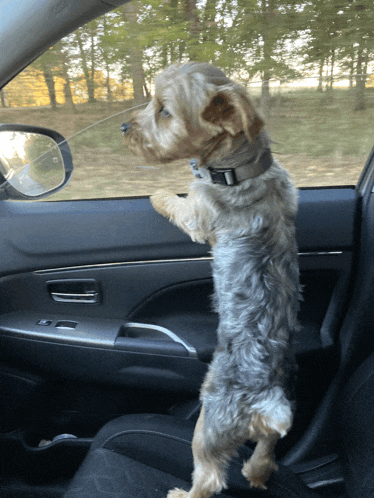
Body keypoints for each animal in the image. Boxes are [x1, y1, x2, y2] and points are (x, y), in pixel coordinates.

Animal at [122, 64, 300, 496]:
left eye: (164, 111)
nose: (124, 126)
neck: (243, 168)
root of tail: (264, 404)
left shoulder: (198, 212)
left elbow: (179, 204)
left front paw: (159, 192)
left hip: (208, 426)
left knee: (209, 477)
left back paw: (180, 492)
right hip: (264, 431)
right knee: (266, 451)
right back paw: (257, 475)